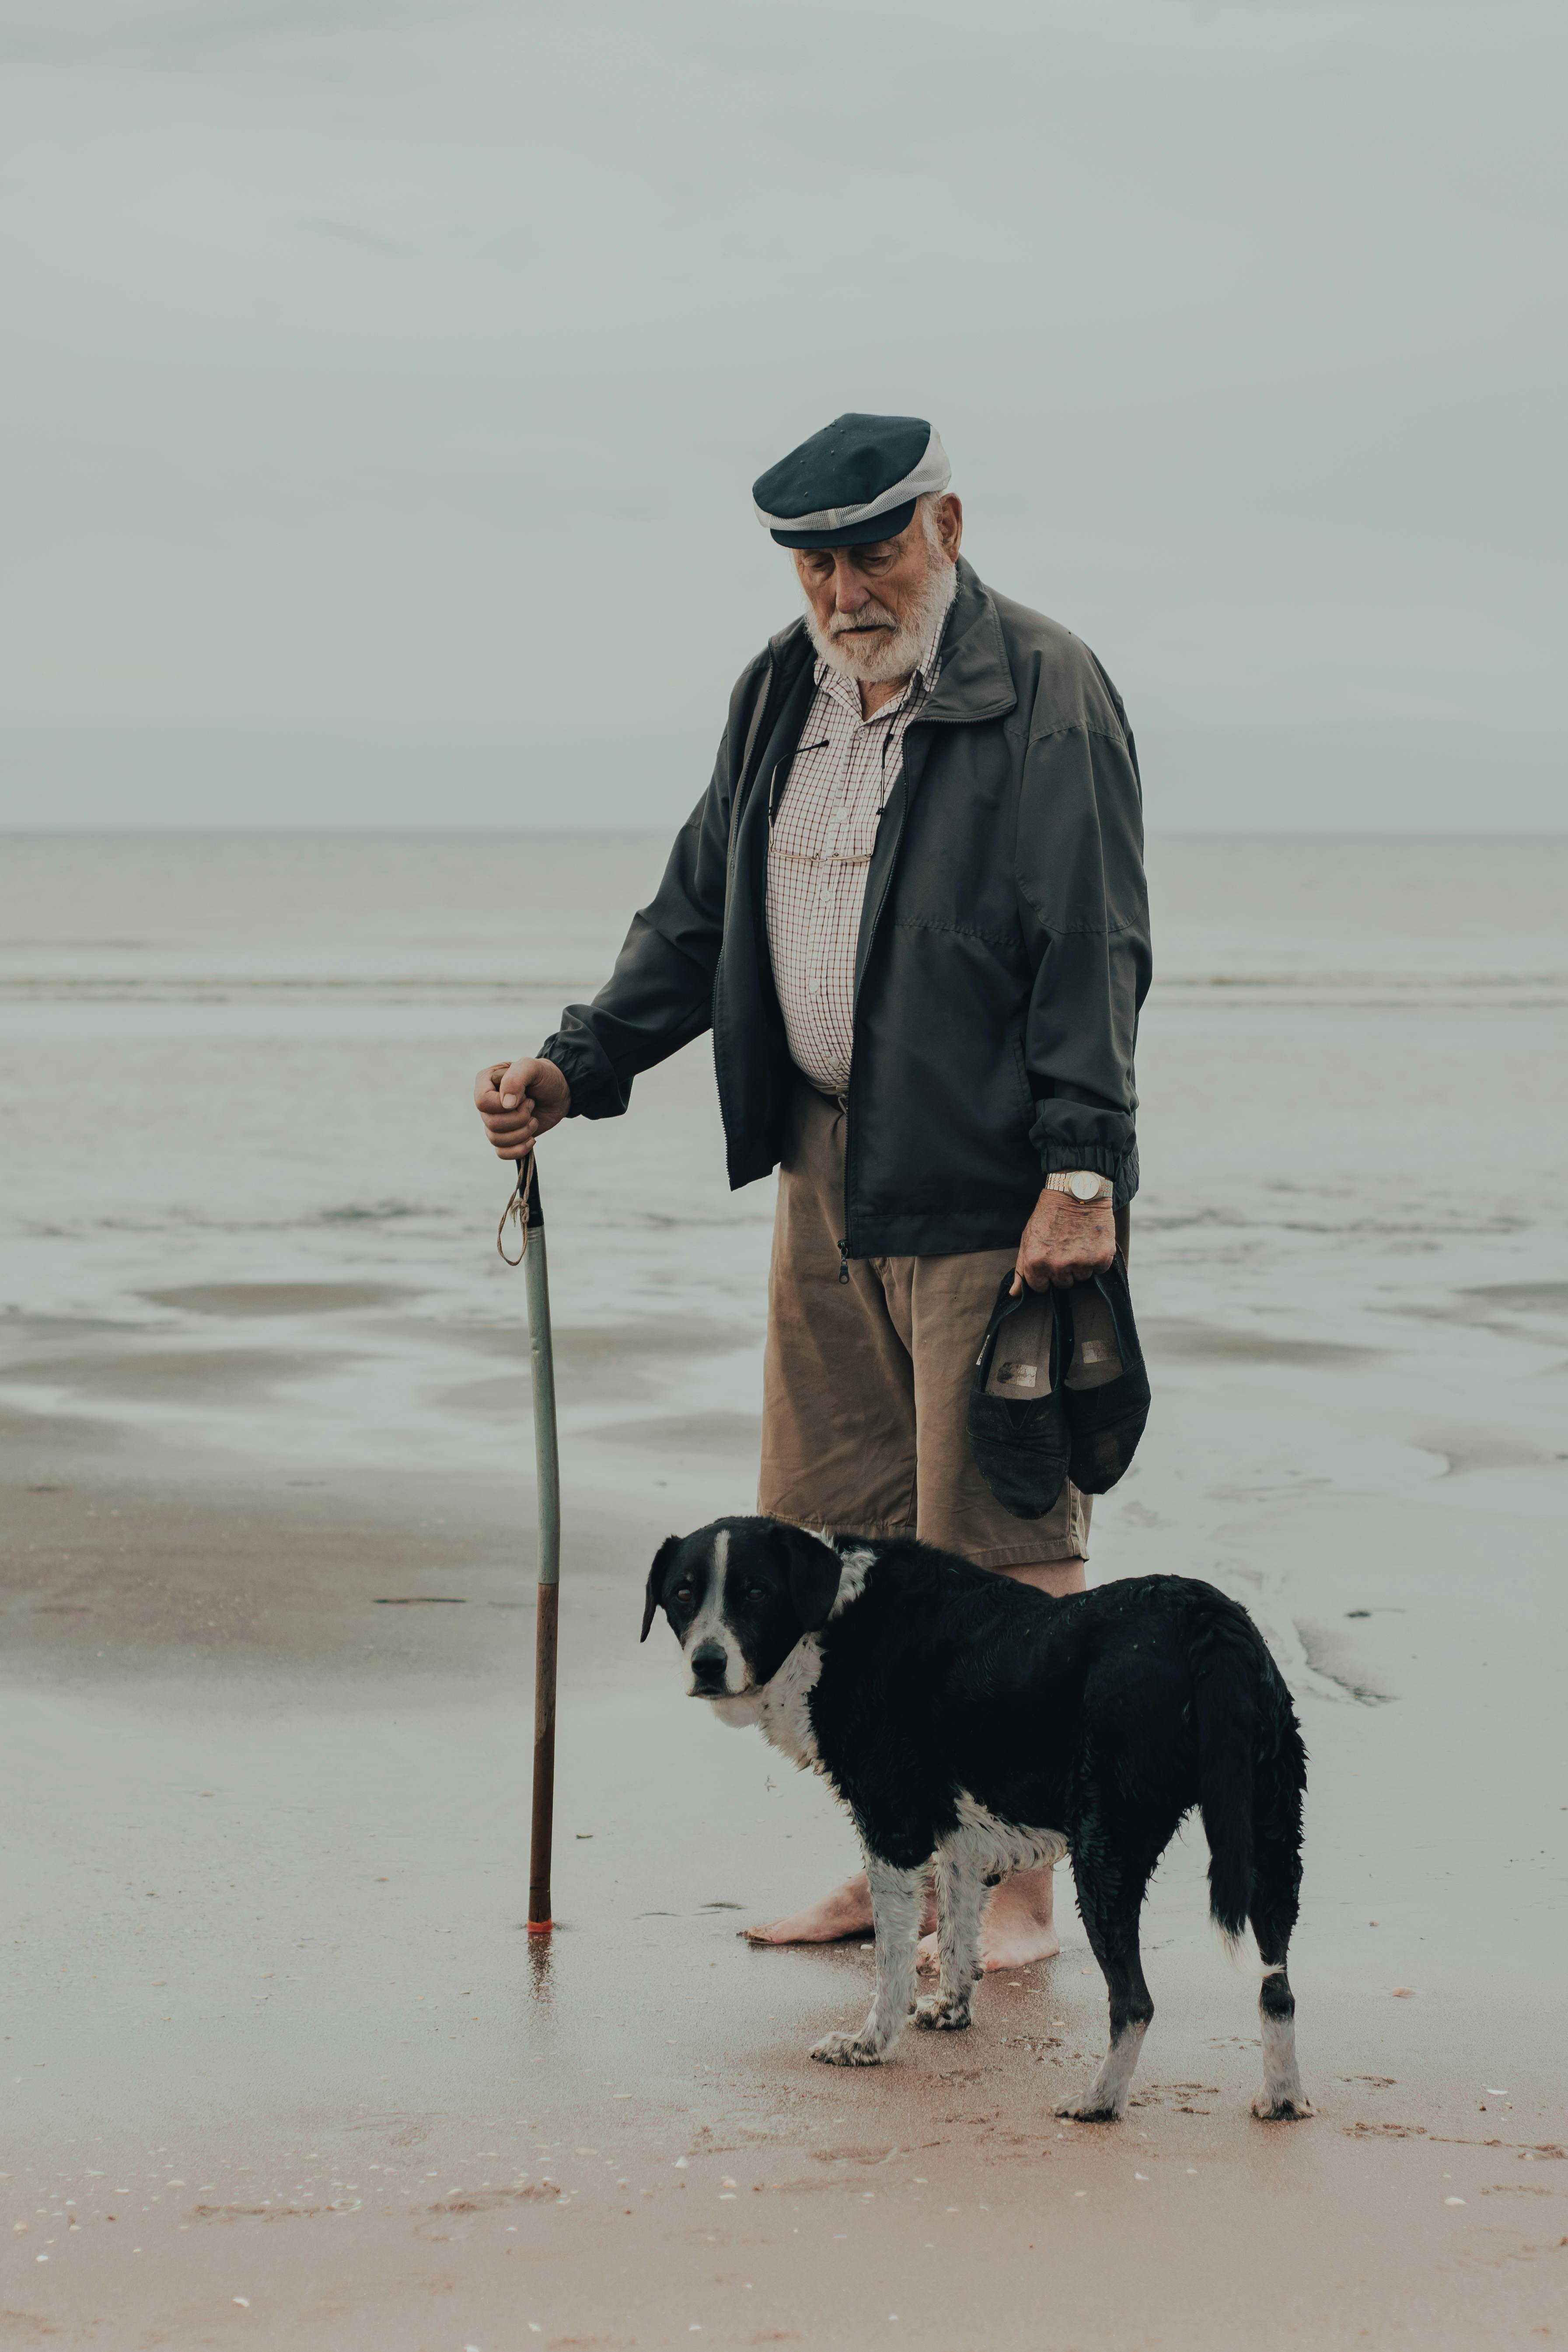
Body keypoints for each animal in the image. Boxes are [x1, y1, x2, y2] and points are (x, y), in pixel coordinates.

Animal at [639, 1514, 1316, 2126]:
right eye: (683, 1593)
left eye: (755, 1590)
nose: (707, 1663)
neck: (830, 1616)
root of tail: (1209, 1619)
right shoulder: (959, 1837)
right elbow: (958, 1934)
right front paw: (950, 2010)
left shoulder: (893, 1830)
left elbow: (891, 1961)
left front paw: (867, 2045)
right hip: (1272, 1839)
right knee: (1278, 1987)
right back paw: (1283, 2097)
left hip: (1107, 1849)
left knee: (1135, 2002)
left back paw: (1099, 2101)